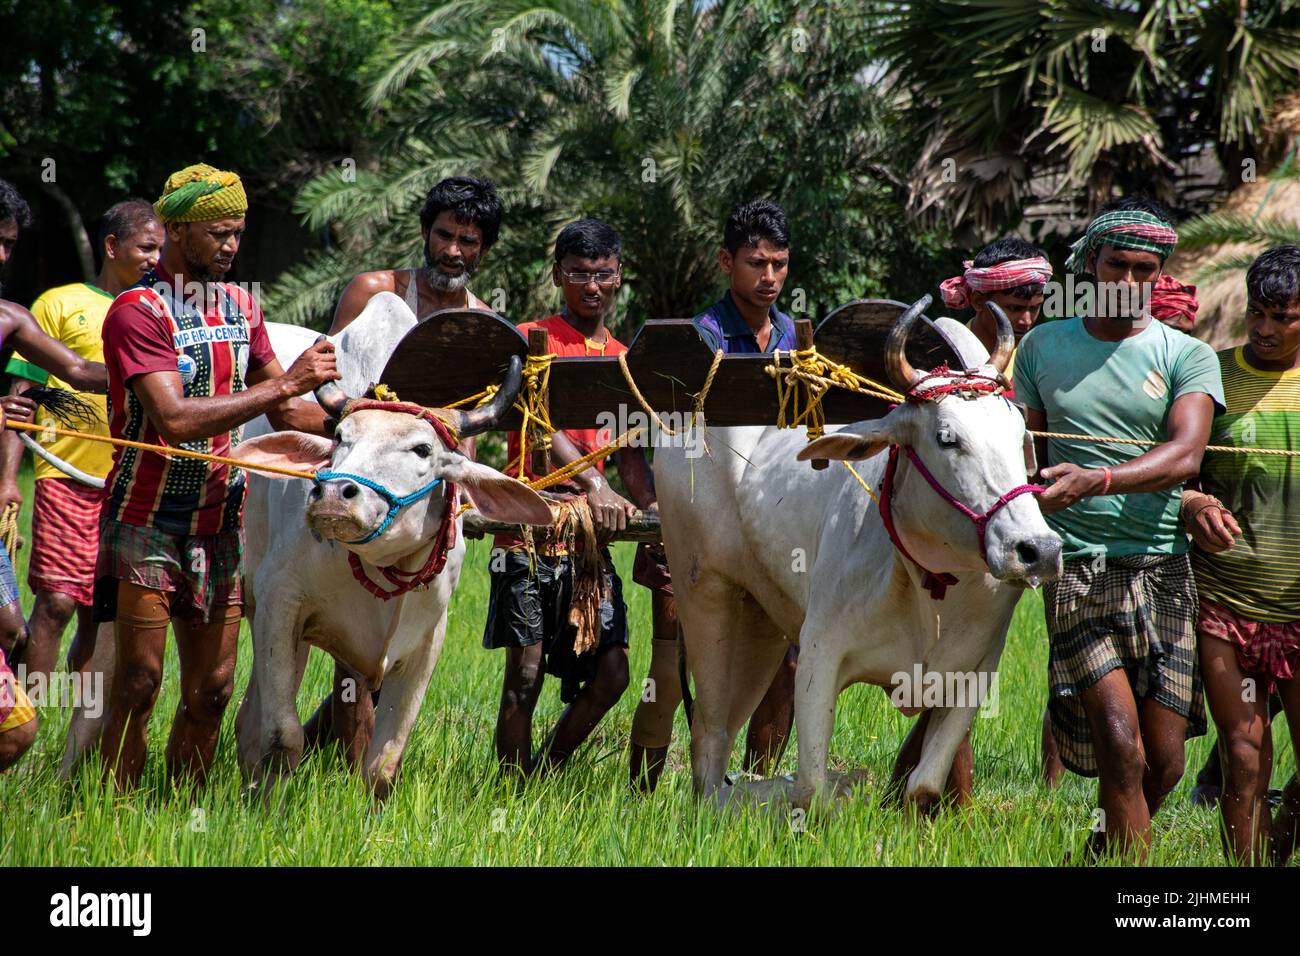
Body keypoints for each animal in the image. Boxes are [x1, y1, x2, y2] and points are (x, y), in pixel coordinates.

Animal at [655, 303, 1060, 811]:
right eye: (947, 437)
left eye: (1018, 434)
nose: (1038, 550)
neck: (931, 585)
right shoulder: (819, 655)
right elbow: (811, 789)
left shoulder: (976, 671)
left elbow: (923, 785)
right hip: (704, 593)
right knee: (707, 743)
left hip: (758, 619)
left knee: (724, 731)